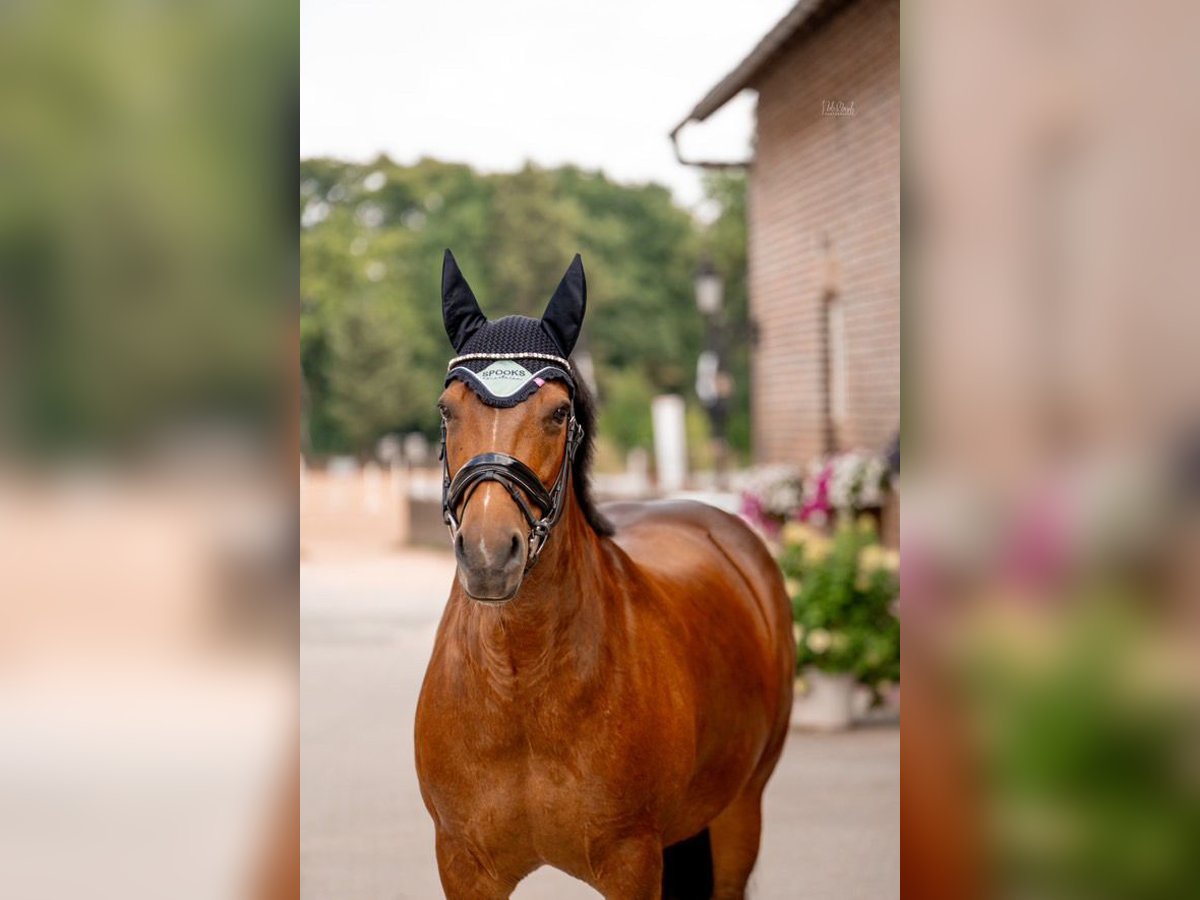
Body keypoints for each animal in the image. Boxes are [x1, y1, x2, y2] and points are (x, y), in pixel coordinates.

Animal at [415, 250, 794, 899]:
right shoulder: (462, 865)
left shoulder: (632, 861)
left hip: (740, 812)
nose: (489, 553)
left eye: (558, 412)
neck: (520, 682)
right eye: (447, 410)